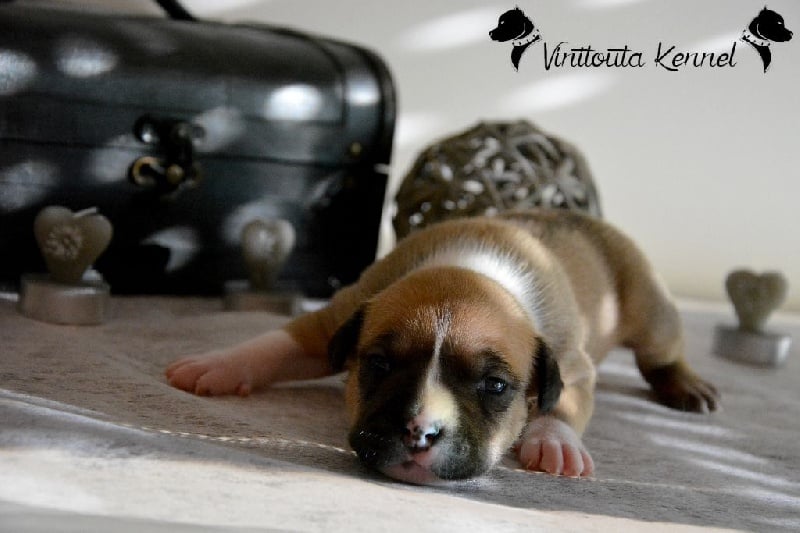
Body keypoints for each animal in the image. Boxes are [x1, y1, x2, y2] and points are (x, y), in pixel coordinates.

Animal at [166, 210, 719, 485]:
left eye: (495, 386)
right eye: (378, 364)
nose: (419, 434)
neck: (471, 276)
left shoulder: (573, 365)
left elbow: (562, 403)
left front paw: (555, 440)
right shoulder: (335, 317)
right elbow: (278, 340)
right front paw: (217, 364)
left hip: (651, 311)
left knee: (660, 352)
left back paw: (686, 385)